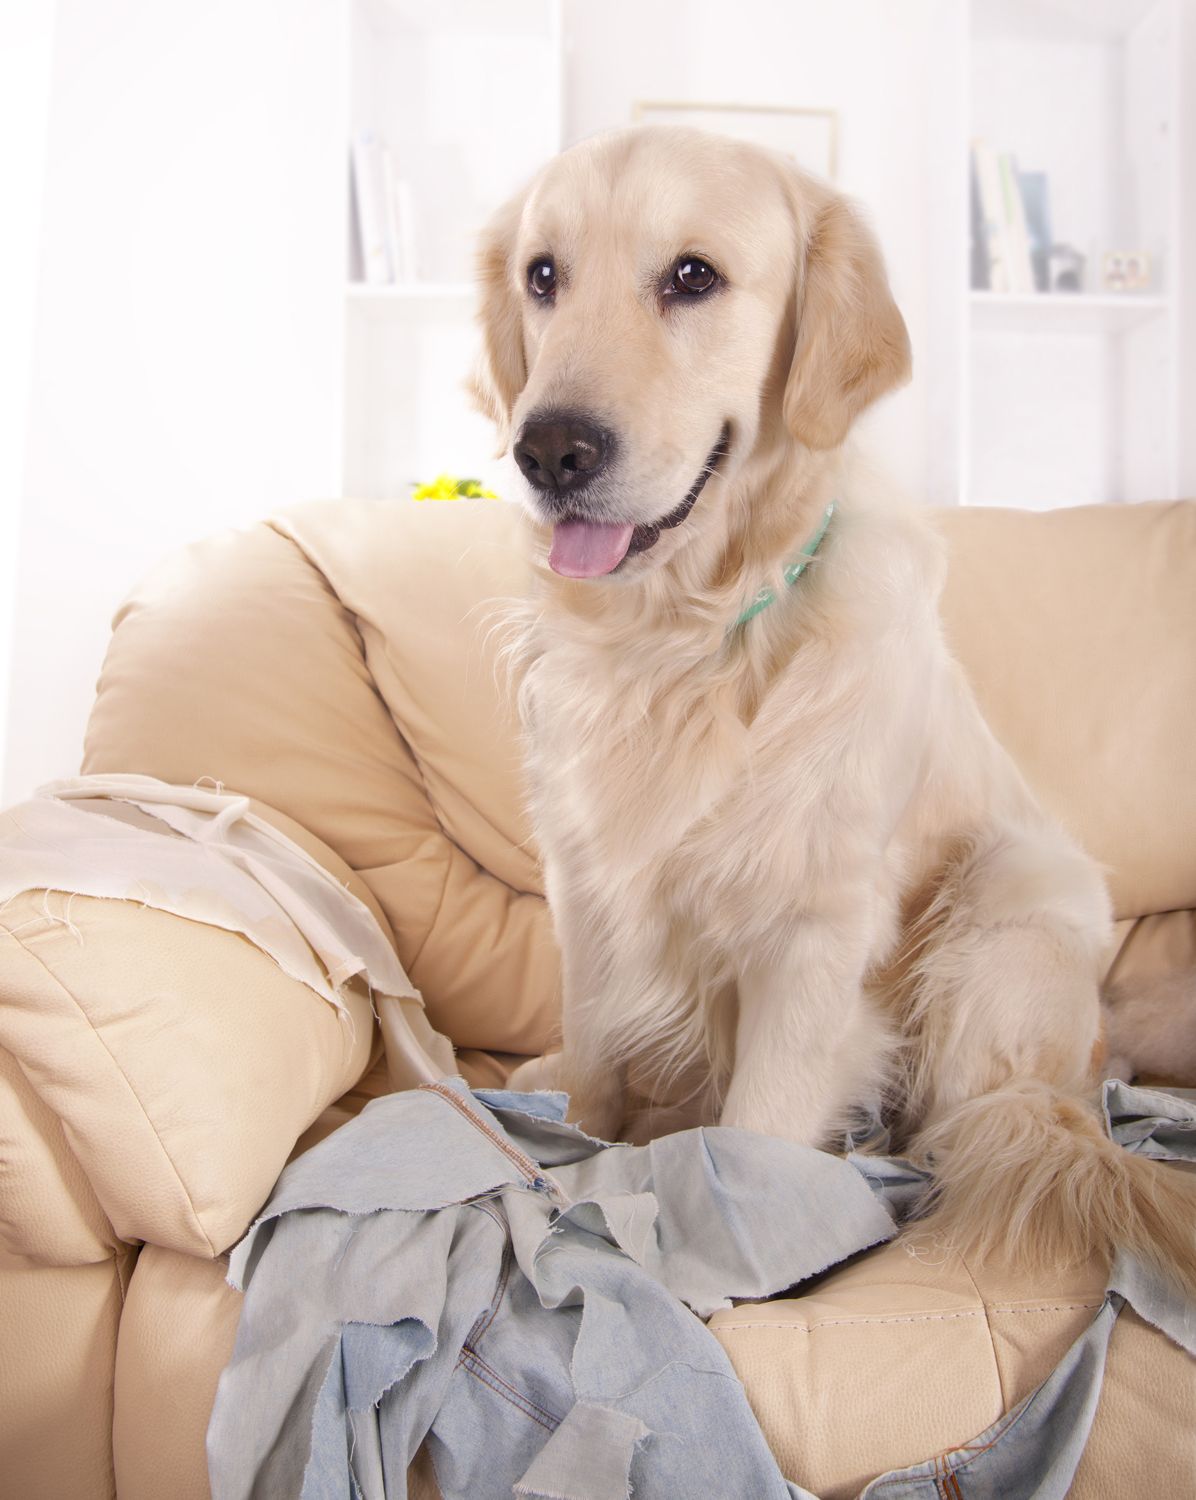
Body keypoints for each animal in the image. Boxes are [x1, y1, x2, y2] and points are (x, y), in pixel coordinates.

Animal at [471, 123, 1188, 1284]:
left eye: (693, 276)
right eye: (543, 276)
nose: (549, 450)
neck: (690, 641)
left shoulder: (815, 931)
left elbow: (758, 1127)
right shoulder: (582, 884)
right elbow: (592, 1058)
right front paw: (576, 1127)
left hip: (1008, 905)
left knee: (965, 1121)